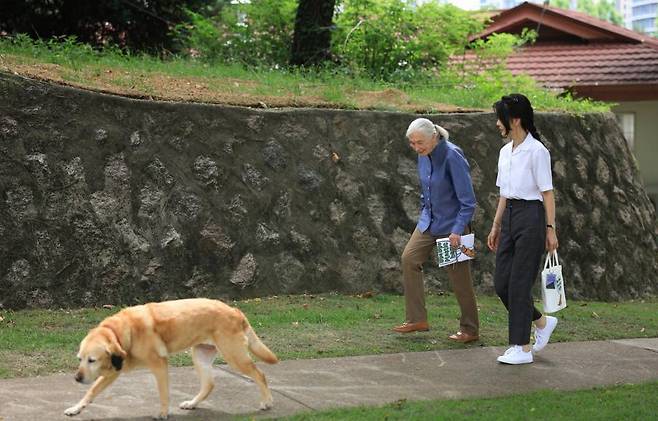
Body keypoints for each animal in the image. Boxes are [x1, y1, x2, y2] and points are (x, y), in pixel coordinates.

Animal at [62, 296, 276, 418]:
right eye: (79, 359)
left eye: (92, 360)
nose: (76, 378)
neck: (118, 332)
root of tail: (235, 311)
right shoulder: (113, 371)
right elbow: (91, 391)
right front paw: (76, 408)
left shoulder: (159, 365)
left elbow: (163, 393)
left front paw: (163, 413)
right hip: (200, 356)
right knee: (209, 384)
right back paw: (192, 404)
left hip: (234, 356)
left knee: (260, 375)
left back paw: (267, 402)